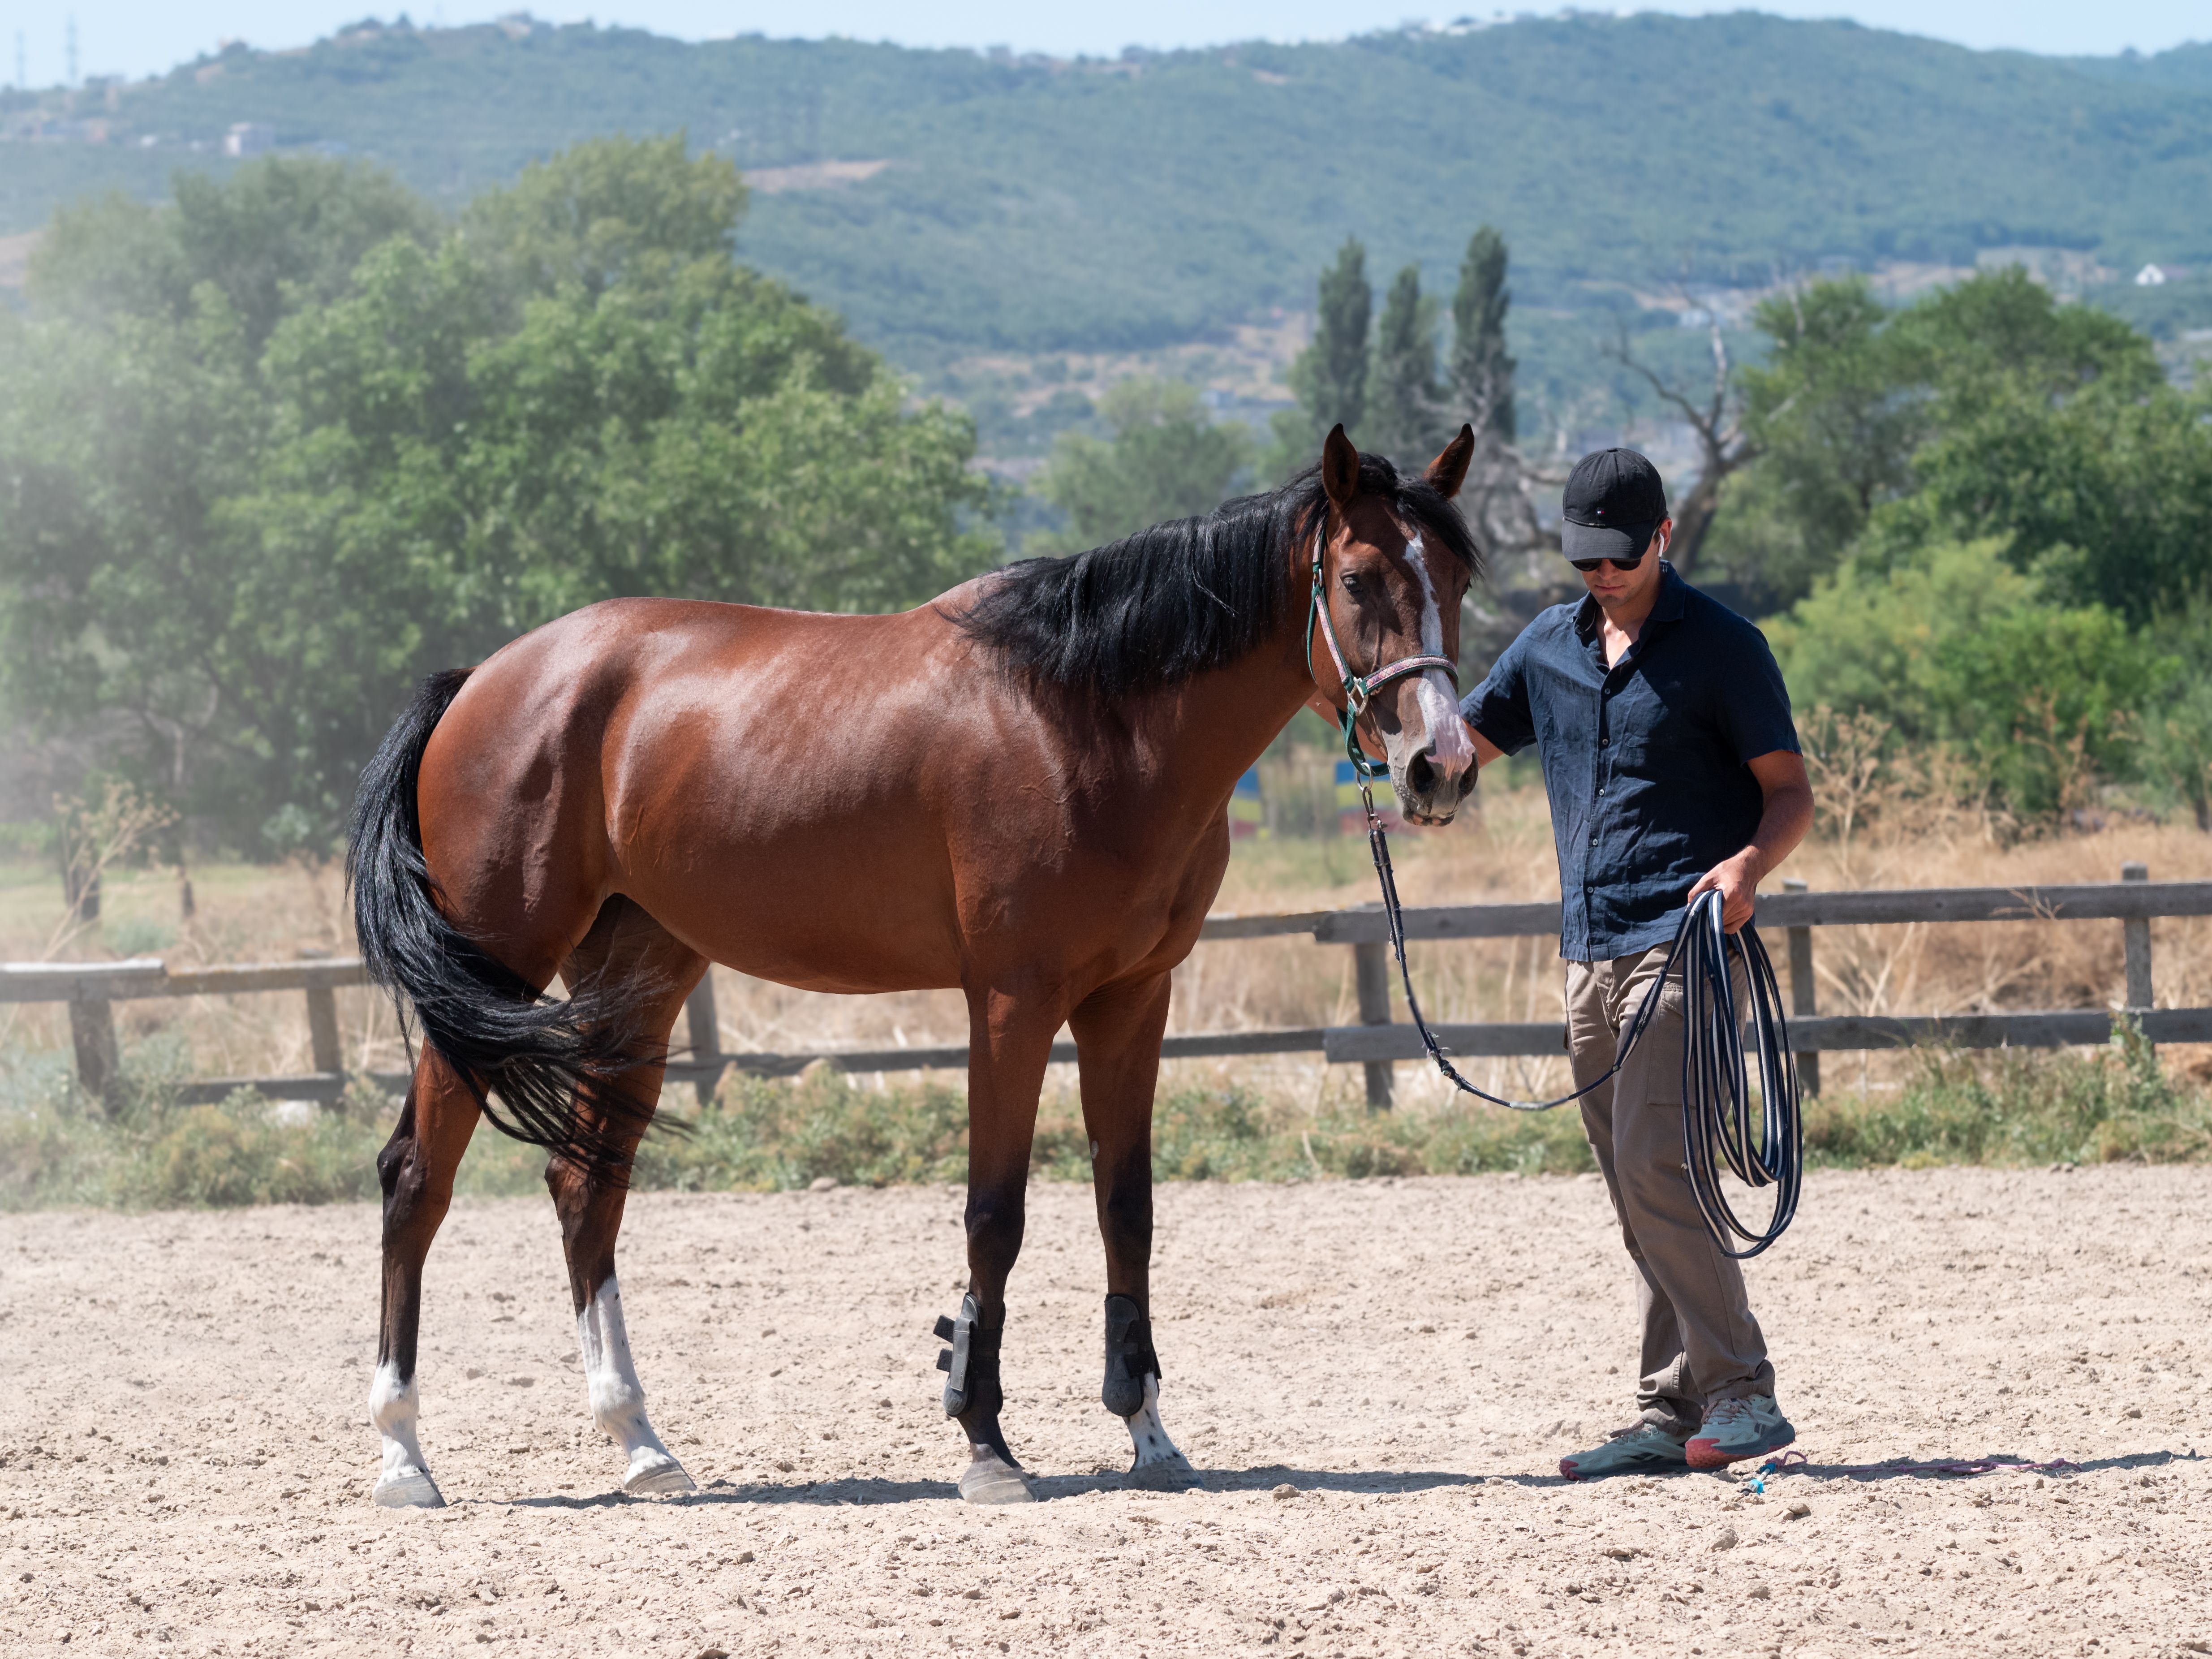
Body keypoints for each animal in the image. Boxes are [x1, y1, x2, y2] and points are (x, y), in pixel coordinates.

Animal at [346, 424, 1482, 1509]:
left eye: (1458, 580)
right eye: (1356, 581)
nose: (1443, 768)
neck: (1087, 717)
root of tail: (481, 683)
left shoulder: (1130, 1001)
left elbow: (1128, 1210)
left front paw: (1150, 1434)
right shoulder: (1011, 1003)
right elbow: (995, 1214)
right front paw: (985, 1444)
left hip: (638, 980)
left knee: (587, 1187)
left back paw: (641, 1445)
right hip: (493, 972)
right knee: (417, 1180)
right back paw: (404, 1459)